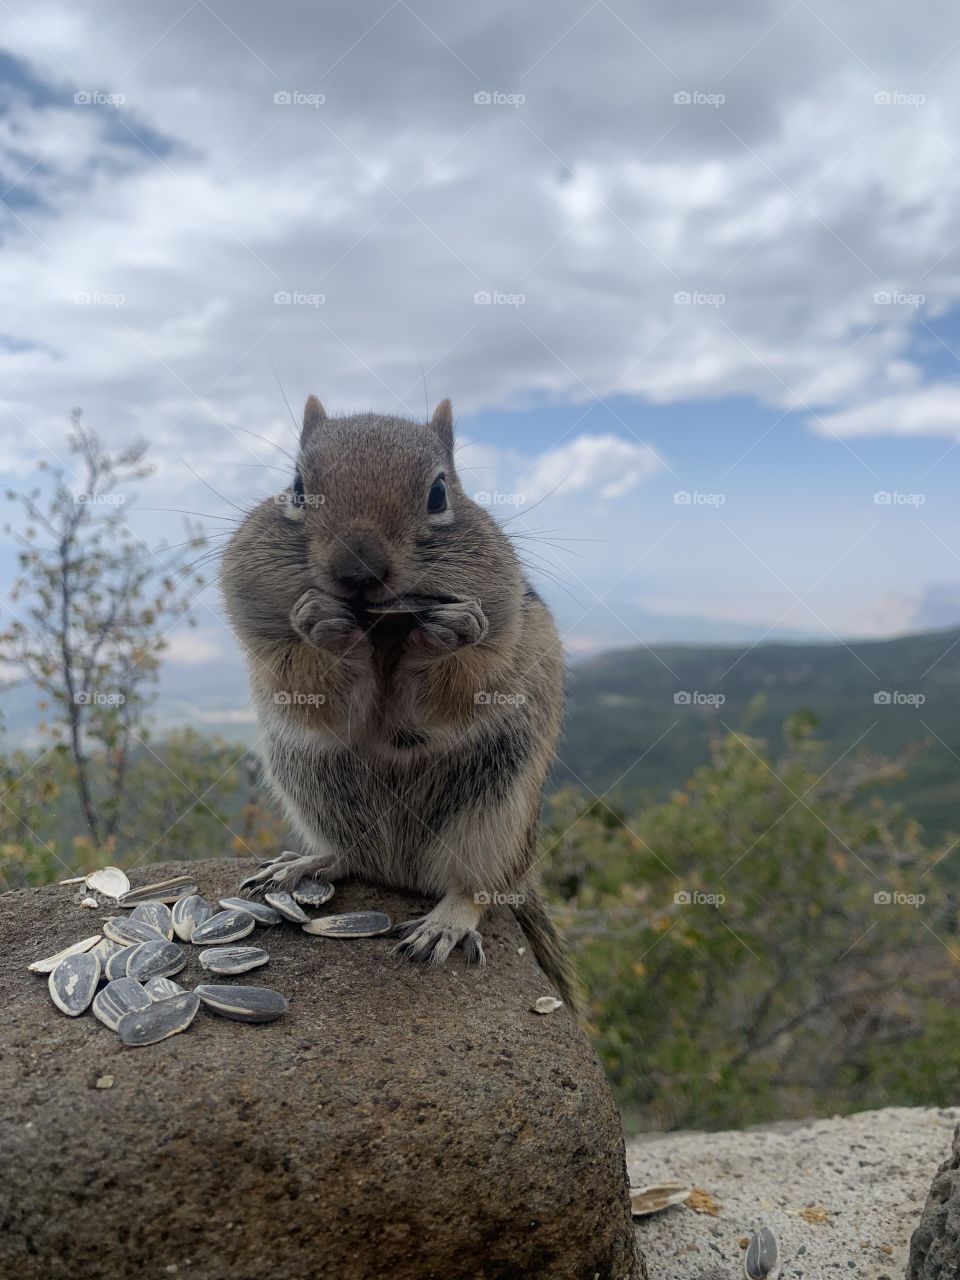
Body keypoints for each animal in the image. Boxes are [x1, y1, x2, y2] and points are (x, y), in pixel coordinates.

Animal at [220, 395, 579, 1009]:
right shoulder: (275, 647)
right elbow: (325, 695)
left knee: (479, 889)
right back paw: (307, 863)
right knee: (352, 856)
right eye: (296, 488)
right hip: (315, 788)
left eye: (439, 494)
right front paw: (325, 627)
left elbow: (446, 693)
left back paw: (445, 922)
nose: (357, 570)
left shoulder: (497, 641)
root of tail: (402, 872)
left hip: (494, 820)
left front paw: (444, 635)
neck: (383, 634)